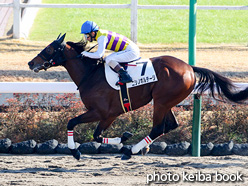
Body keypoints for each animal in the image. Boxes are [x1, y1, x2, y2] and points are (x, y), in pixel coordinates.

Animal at [28, 33, 247, 160]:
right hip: (165, 102)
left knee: (158, 127)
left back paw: (130, 151)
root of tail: (189, 68)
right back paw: (137, 149)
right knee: (169, 125)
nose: (31, 63)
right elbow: (93, 134)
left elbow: (77, 125)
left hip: (161, 101)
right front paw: (123, 138)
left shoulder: (105, 113)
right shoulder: (105, 114)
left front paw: (76, 150)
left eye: (49, 48)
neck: (90, 74)